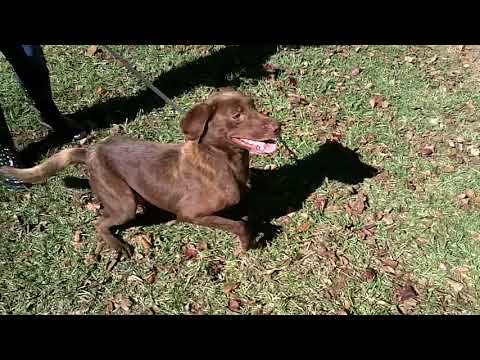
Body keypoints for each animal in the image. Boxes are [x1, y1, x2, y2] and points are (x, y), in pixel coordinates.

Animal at [0, 90, 282, 256]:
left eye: (253, 106)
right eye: (237, 115)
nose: (278, 126)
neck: (224, 161)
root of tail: (91, 150)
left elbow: (247, 217)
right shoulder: (191, 214)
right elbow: (241, 225)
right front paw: (247, 245)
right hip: (123, 203)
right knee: (99, 223)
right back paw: (117, 245)